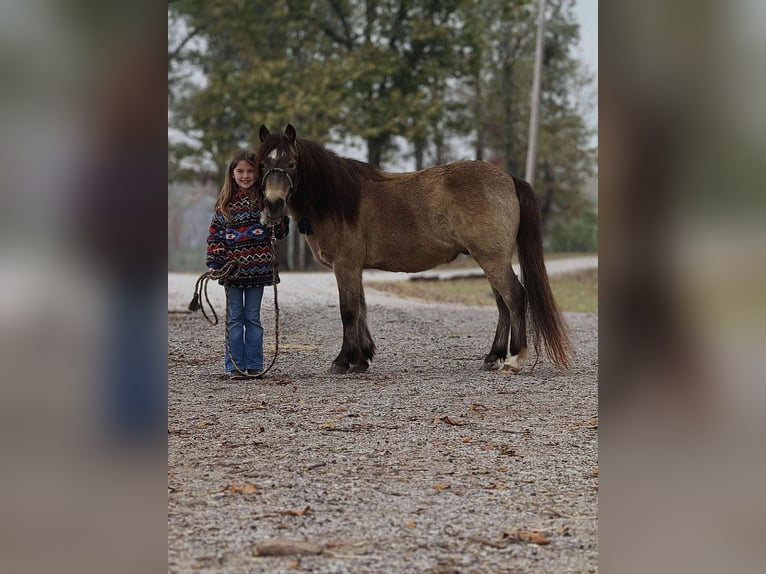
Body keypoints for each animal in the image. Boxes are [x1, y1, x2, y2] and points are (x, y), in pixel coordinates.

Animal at [255, 124, 571, 374]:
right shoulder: (355, 268)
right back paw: (493, 357)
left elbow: (348, 311)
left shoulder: (345, 266)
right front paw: (361, 358)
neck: (337, 201)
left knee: (515, 297)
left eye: (292, 163)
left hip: (493, 260)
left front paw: (343, 361)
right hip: (490, 260)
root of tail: (508, 178)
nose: (273, 204)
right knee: (503, 304)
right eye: (262, 165)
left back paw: (514, 359)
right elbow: (361, 310)